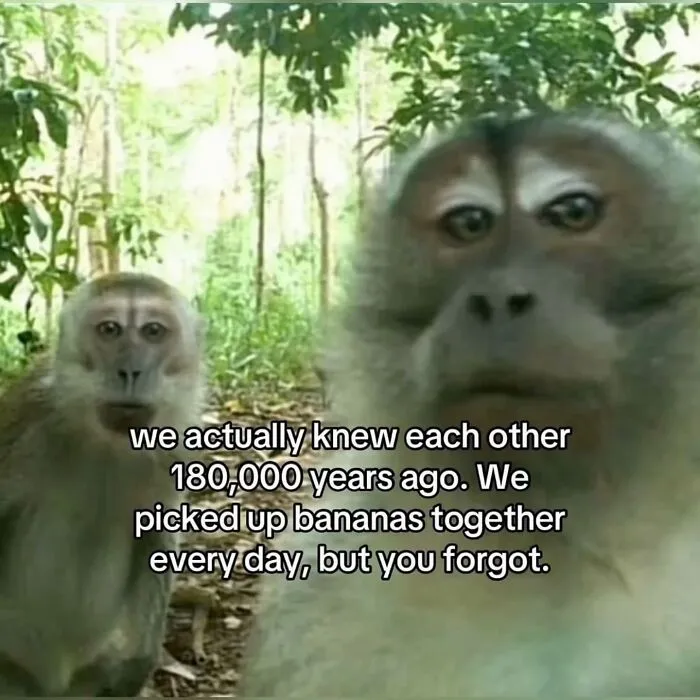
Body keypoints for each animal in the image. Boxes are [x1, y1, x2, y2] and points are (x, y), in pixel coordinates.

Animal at [0, 272, 206, 696]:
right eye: (109, 330)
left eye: (153, 331)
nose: (130, 372)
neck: (109, 443)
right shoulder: (26, 419)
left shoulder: (176, 447)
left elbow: (156, 541)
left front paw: (140, 665)